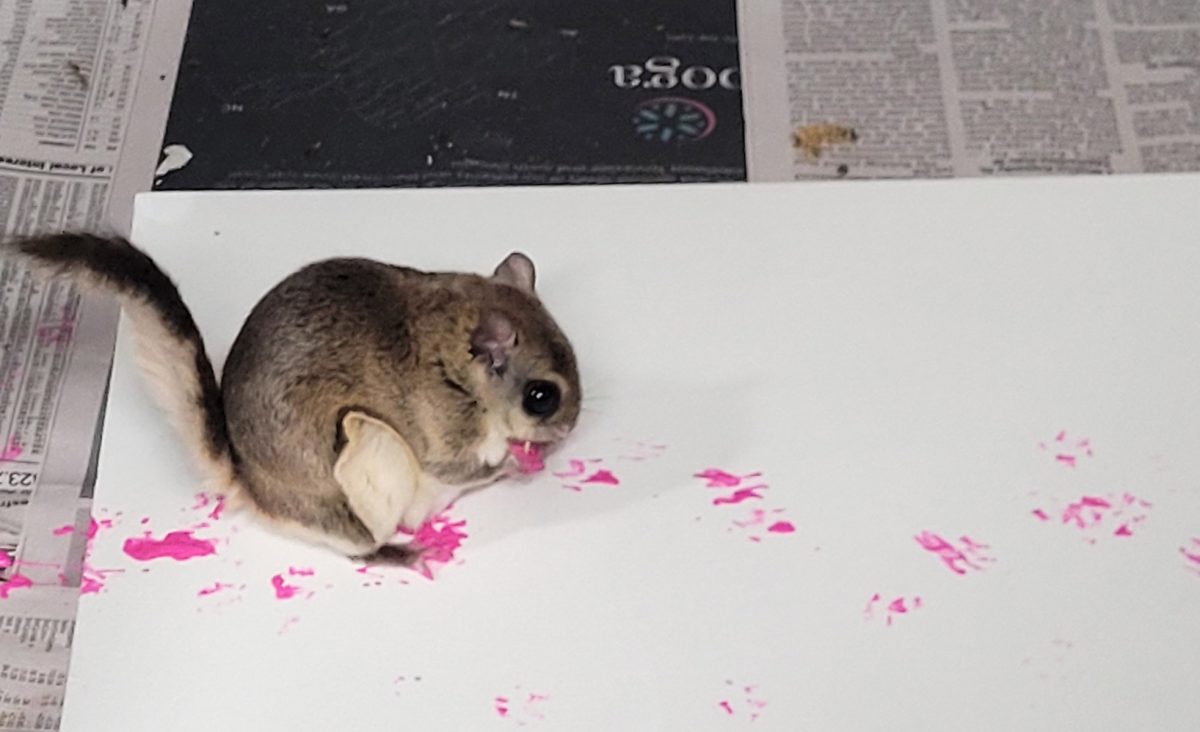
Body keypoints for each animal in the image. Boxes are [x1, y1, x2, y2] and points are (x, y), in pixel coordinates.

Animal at [9, 234, 580, 559]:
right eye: (541, 396)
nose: (570, 428)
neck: (454, 354)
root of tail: (254, 487)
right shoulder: (443, 424)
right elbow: (464, 466)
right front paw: (515, 460)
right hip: (362, 453)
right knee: (359, 547)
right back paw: (402, 552)